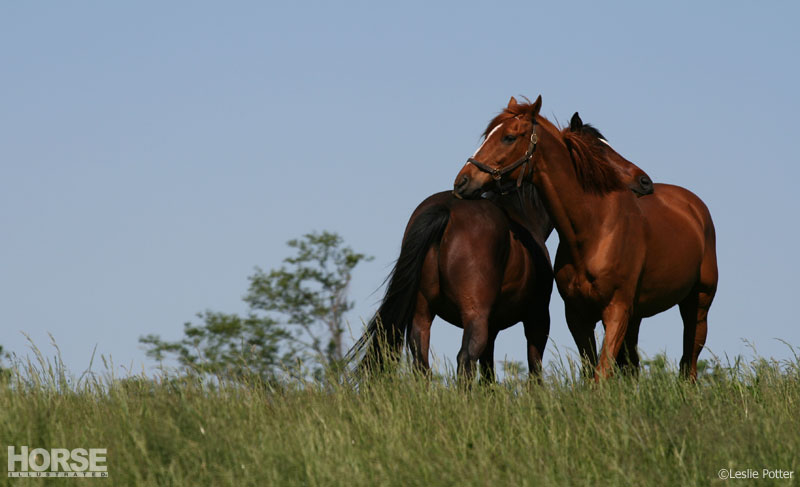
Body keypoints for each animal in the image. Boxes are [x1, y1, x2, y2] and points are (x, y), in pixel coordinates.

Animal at [350, 112, 656, 384]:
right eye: (599, 151)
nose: (644, 181)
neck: (523, 212)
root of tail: (445, 211)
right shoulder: (536, 319)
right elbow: (534, 370)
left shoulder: (493, 327)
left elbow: (488, 376)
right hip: (475, 318)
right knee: (464, 360)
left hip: (423, 316)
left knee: (422, 363)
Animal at [456, 97, 720, 384]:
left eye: (508, 137)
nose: (462, 181)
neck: (593, 232)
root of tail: (693, 206)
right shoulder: (578, 316)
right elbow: (590, 370)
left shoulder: (616, 312)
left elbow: (601, 374)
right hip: (638, 316)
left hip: (698, 305)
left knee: (689, 362)